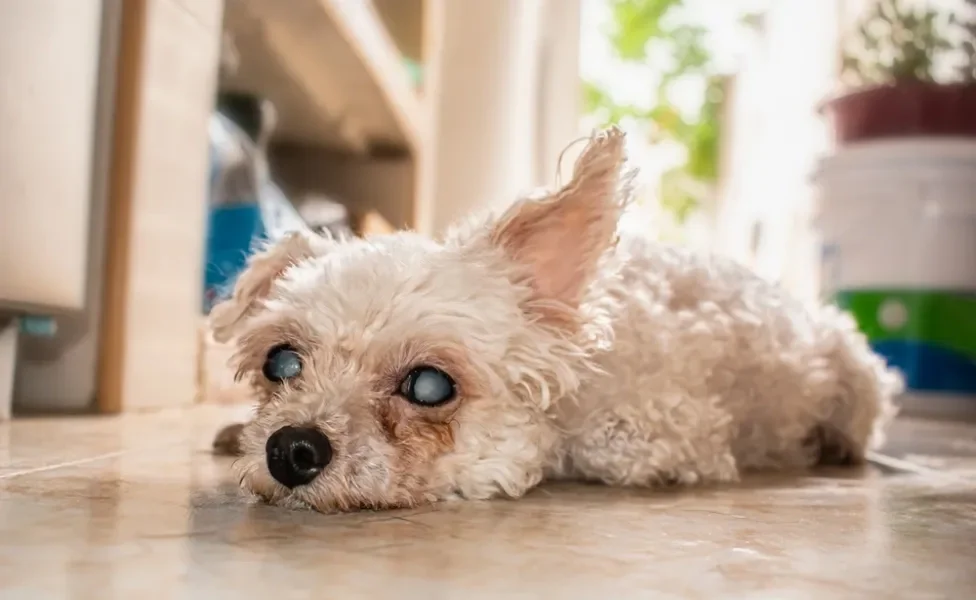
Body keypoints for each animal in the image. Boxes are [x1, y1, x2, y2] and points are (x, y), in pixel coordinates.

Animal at [208, 126, 900, 510]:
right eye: (281, 362)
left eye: (429, 386)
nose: (290, 448)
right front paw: (234, 431)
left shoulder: (669, 428)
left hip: (860, 386)